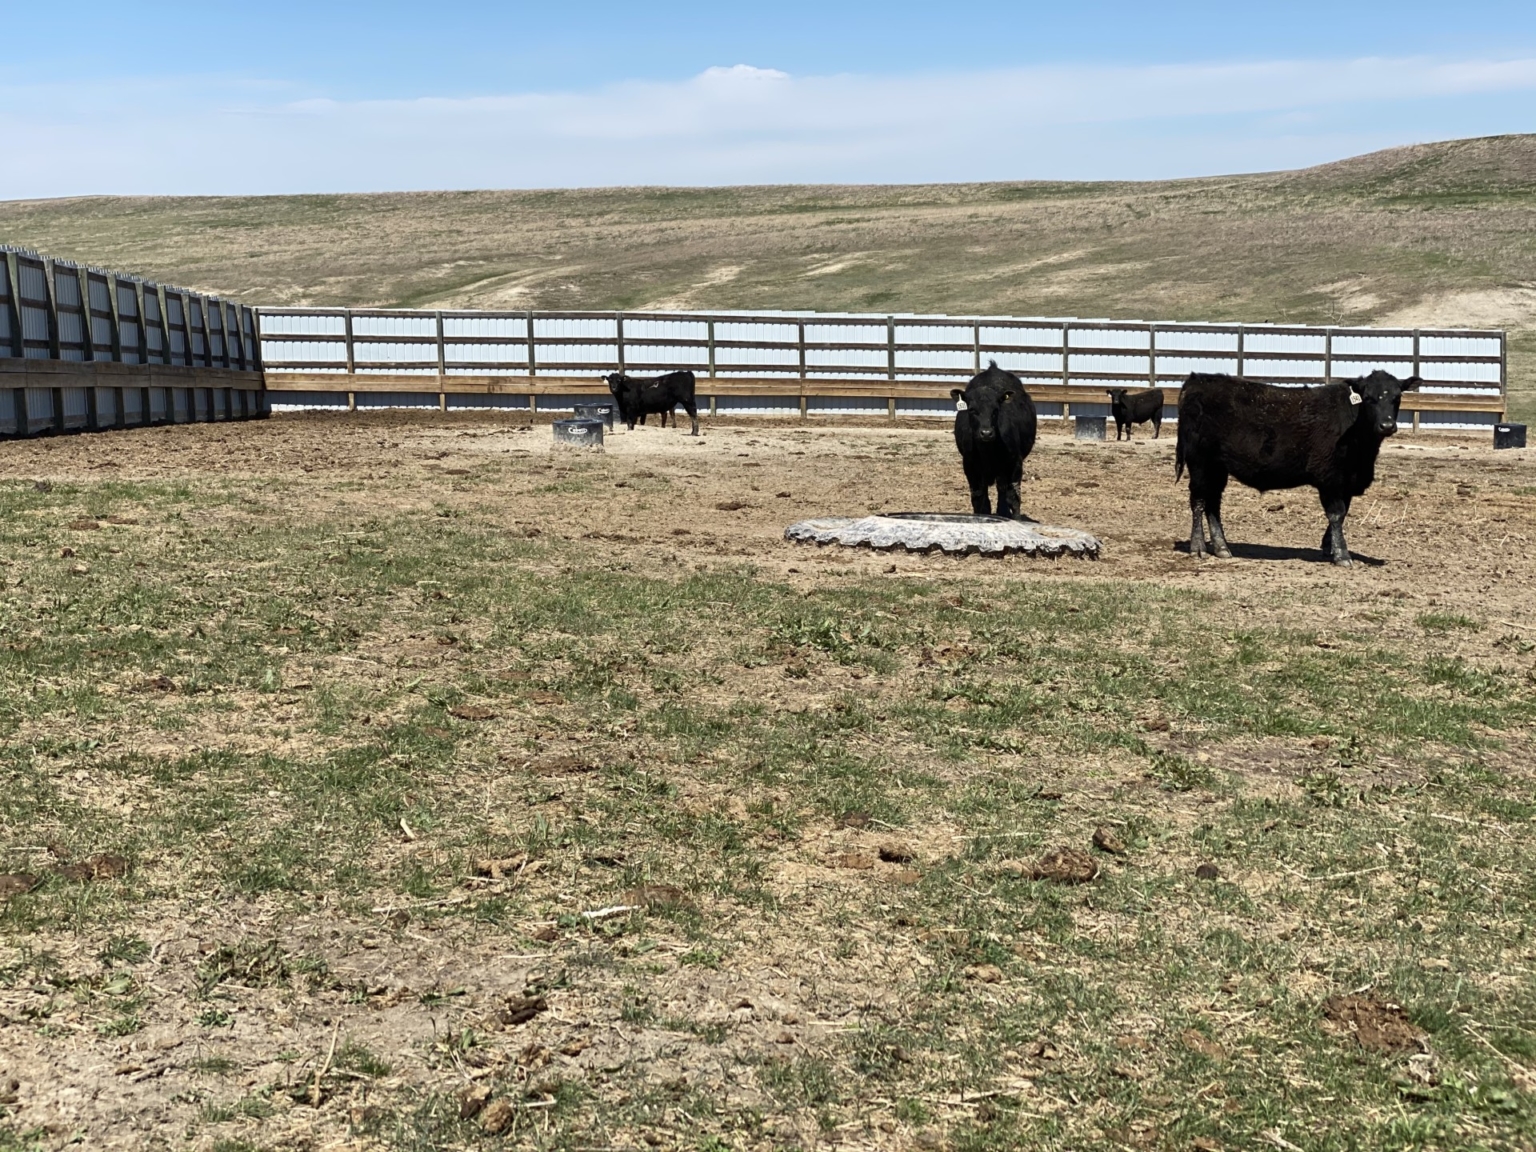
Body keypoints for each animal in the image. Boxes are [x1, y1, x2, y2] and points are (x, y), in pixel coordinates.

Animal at [951, 361, 1038, 519]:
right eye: (972, 410)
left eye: (996, 409)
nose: (986, 433)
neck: (988, 451)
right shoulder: (970, 465)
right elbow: (979, 498)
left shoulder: (1014, 463)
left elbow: (1013, 496)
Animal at [1174, 370, 1420, 566]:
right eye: (1368, 398)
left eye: (1397, 397)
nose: (1387, 425)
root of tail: (1197, 380)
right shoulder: (1330, 478)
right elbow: (1336, 514)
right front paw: (1342, 555)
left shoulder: (1347, 481)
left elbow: (1342, 514)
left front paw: (1328, 547)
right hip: (1199, 461)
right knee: (1198, 500)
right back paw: (1198, 547)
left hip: (1217, 467)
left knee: (1213, 502)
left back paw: (1222, 547)